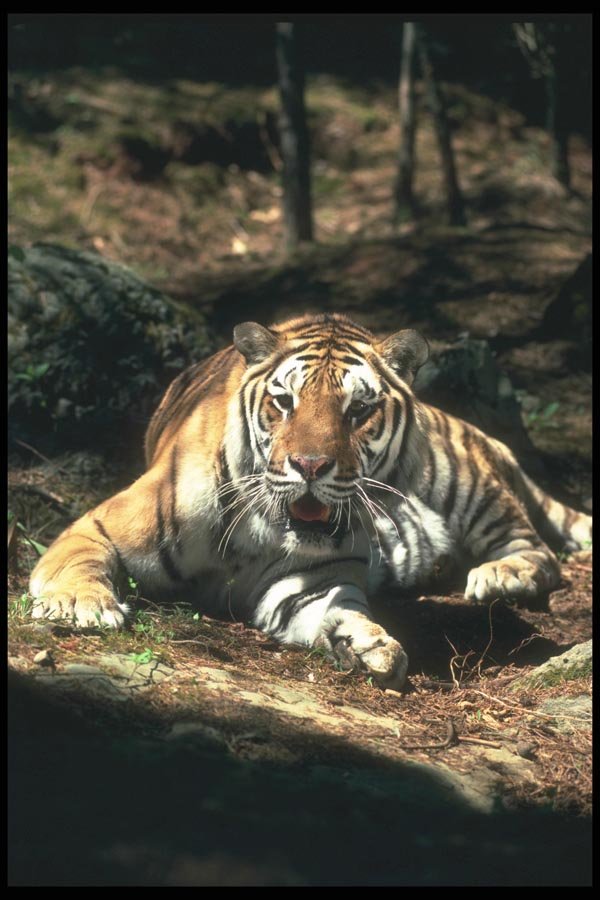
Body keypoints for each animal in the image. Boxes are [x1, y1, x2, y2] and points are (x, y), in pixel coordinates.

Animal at [29, 313, 592, 688]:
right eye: (284, 402)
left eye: (359, 409)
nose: (310, 466)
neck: (262, 527)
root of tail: (479, 432)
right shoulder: (101, 523)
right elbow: (79, 560)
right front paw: (82, 605)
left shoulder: (309, 580)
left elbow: (340, 605)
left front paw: (369, 645)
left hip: (461, 482)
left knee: (537, 549)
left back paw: (500, 576)